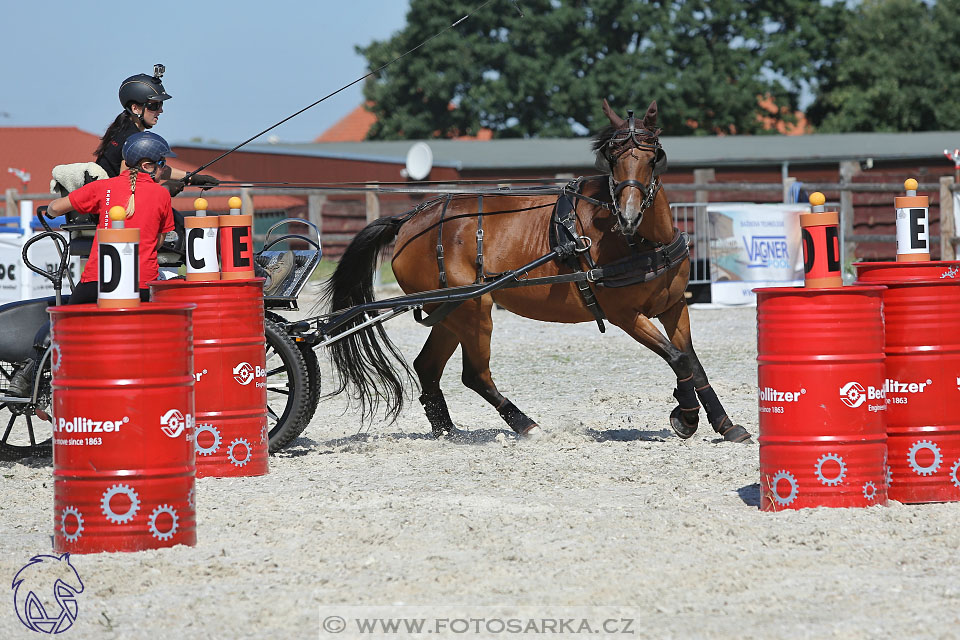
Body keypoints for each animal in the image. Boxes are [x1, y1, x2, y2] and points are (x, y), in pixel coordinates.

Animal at [326, 100, 752, 442]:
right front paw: (686, 416)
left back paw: (447, 430)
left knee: (427, 367)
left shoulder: (674, 306)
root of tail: (410, 220)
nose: (628, 216)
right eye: (613, 158)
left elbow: (692, 363)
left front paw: (725, 424)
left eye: (653, 157)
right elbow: (677, 359)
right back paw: (525, 425)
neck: (640, 242)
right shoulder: (626, 315)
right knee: (474, 374)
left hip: (450, 312)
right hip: (474, 309)